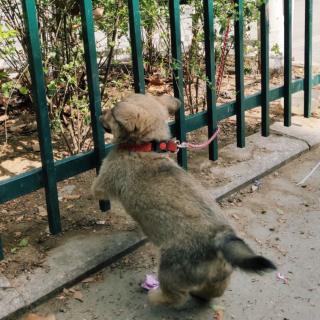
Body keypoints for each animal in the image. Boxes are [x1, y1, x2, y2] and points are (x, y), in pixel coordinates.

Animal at [91, 94, 276, 308]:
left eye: (112, 114)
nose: (99, 115)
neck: (146, 147)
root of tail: (220, 239)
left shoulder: (101, 184)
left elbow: (94, 190)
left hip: (169, 269)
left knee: (175, 296)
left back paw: (155, 296)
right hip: (220, 275)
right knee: (213, 291)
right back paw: (199, 294)